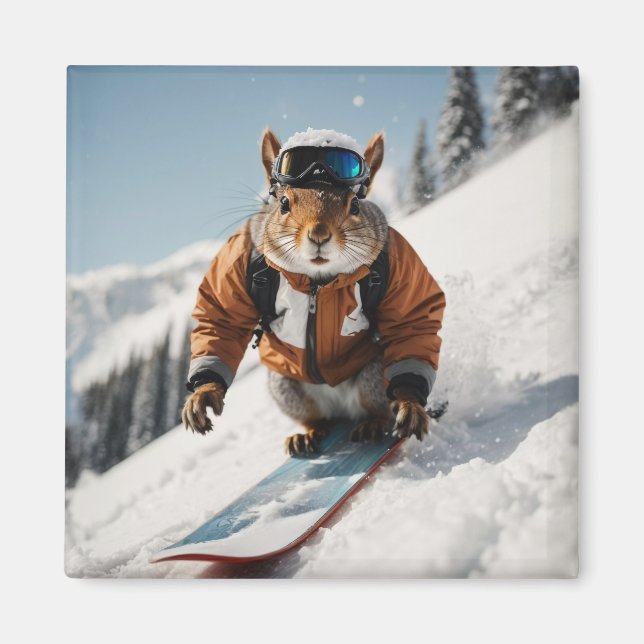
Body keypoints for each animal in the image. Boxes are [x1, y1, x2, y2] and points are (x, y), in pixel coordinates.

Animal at [182, 128, 446, 455]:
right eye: (284, 203)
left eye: (354, 206)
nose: (319, 234)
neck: (316, 283)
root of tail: (341, 406)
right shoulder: (239, 253)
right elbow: (222, 317)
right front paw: (204, 393)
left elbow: (413, 317)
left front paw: (410, 404)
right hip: (287, 390)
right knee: (317, 419)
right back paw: (306, 435)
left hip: (374, 377)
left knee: (377, 408)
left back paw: (372, 424)